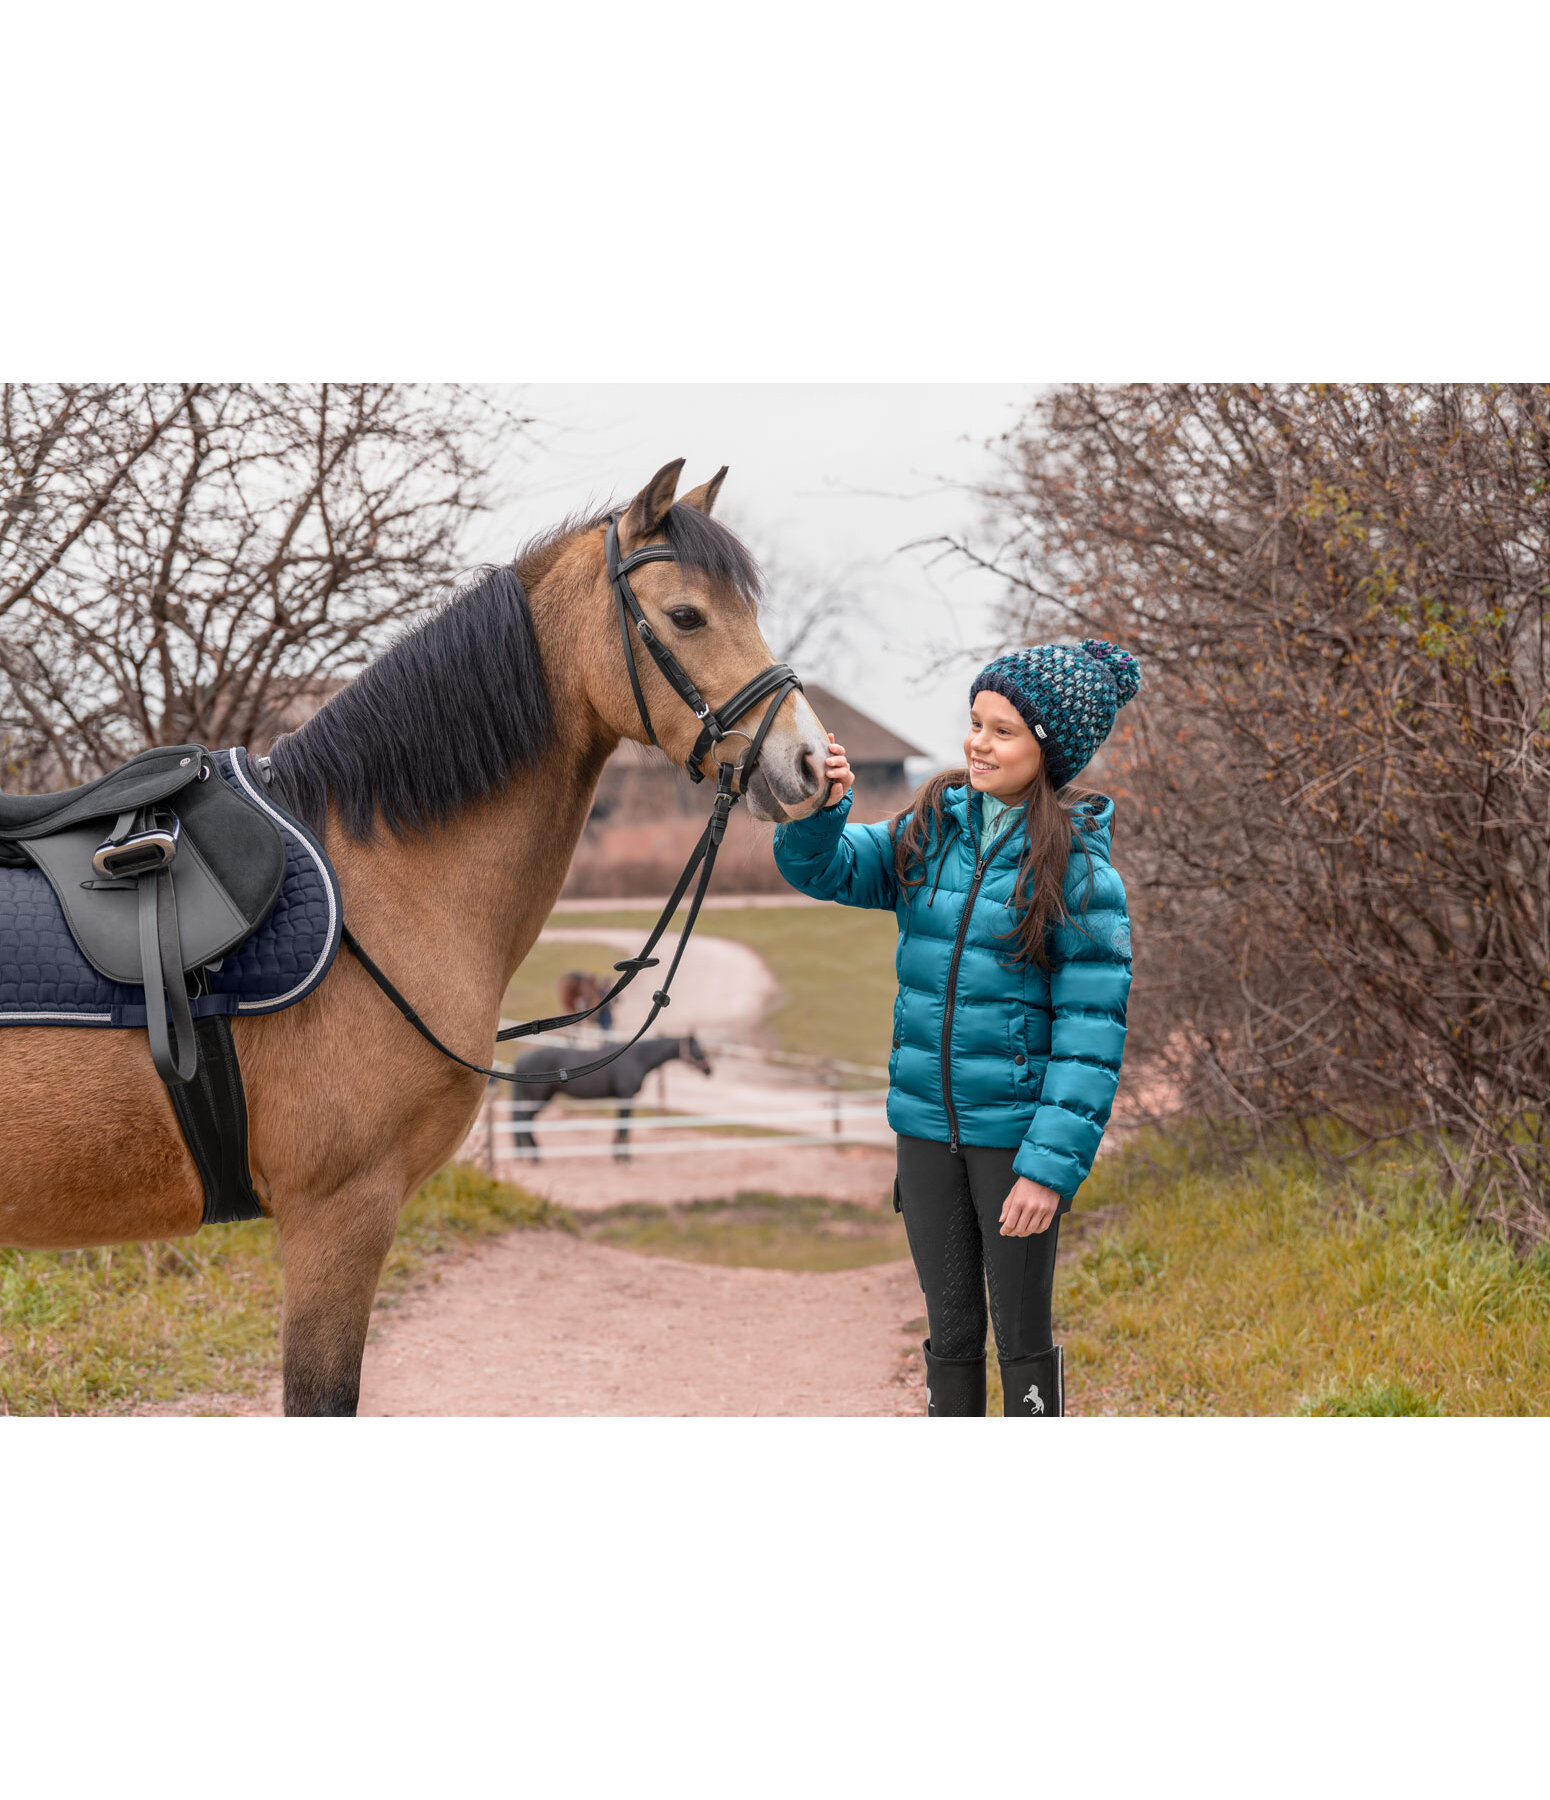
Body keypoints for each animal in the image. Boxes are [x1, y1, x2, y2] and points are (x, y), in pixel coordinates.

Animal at [507, 1036, 712, 1159]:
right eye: (697, 1049)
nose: (710, 1070)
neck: (637, 1057)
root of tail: (520, 1061)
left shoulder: (622, 1097)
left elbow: (620, 1123)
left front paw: (617, 1154)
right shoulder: (627, 1096)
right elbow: (625, 1125)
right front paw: (624, 1157)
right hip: (540, 1098)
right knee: (525, 1120)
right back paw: (536, 1156)